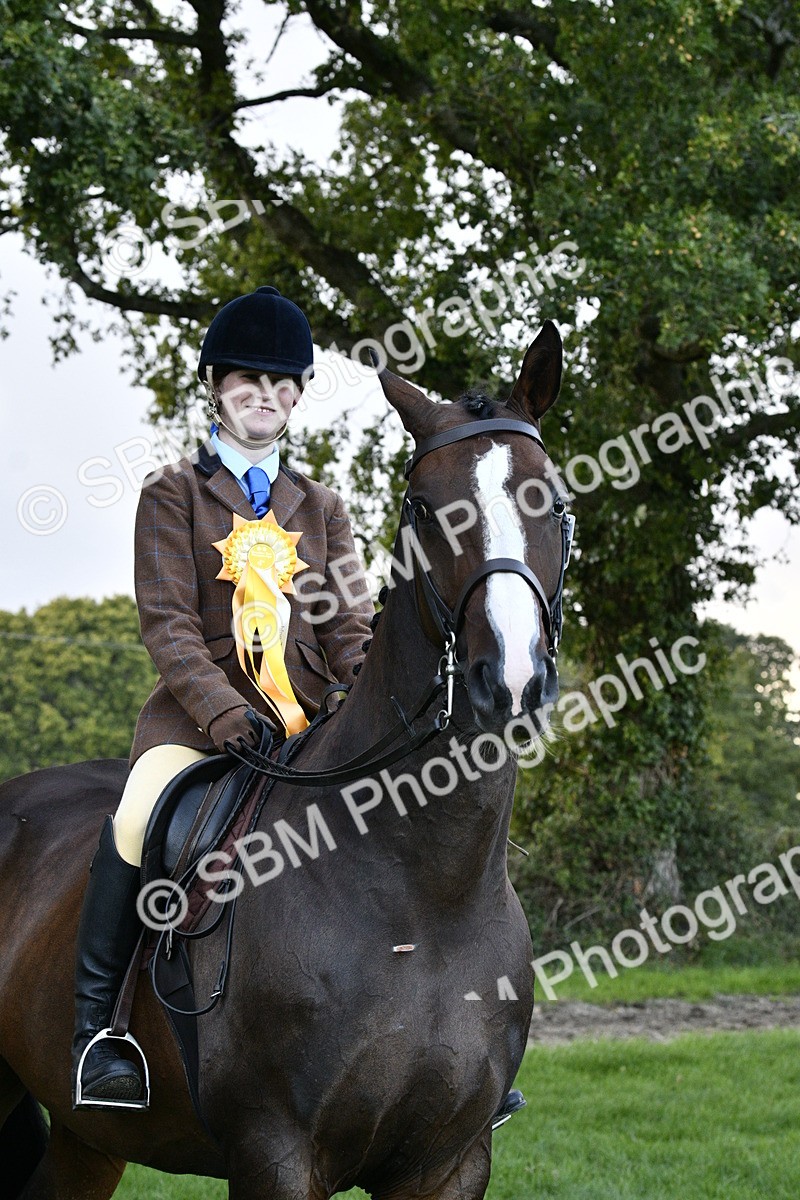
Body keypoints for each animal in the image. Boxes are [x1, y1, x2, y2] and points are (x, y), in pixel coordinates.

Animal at [0, 319, 569, 1200]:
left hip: (86, 1137)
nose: (508, 678)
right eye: (422, 508)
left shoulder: (452, 1160)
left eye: (554, 498)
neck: (424, 892)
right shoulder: (276, 1152)